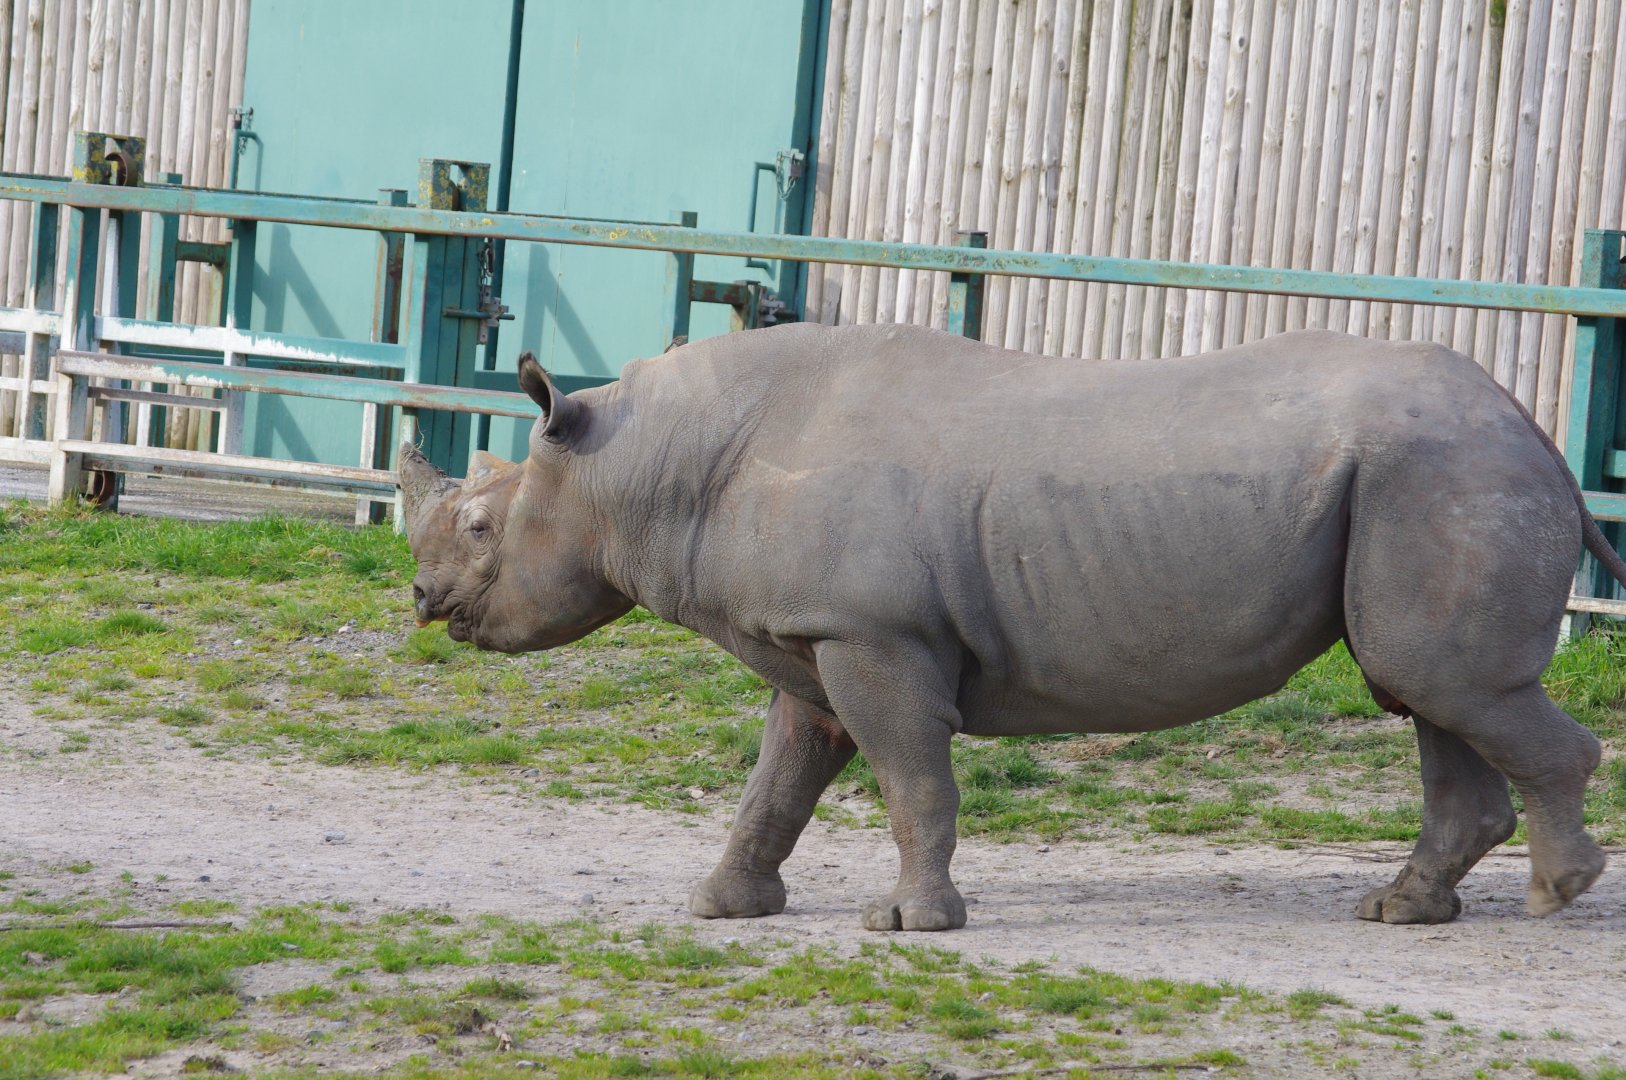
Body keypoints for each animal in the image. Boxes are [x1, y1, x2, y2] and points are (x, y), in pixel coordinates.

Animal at [399, 323, 1623, 932]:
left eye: (481, 523)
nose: (421, 602)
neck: (639, 464)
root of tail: (1532, 425)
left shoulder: (874, 635)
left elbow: (909, 779)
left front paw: (912, 926)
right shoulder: (814, 638)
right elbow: (779, 781)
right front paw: (719, 908)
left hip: (1447, 473)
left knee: (1444, 683)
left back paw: (1555, 899)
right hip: (1434, 474)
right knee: (1425, 688)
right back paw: (1403, 913)